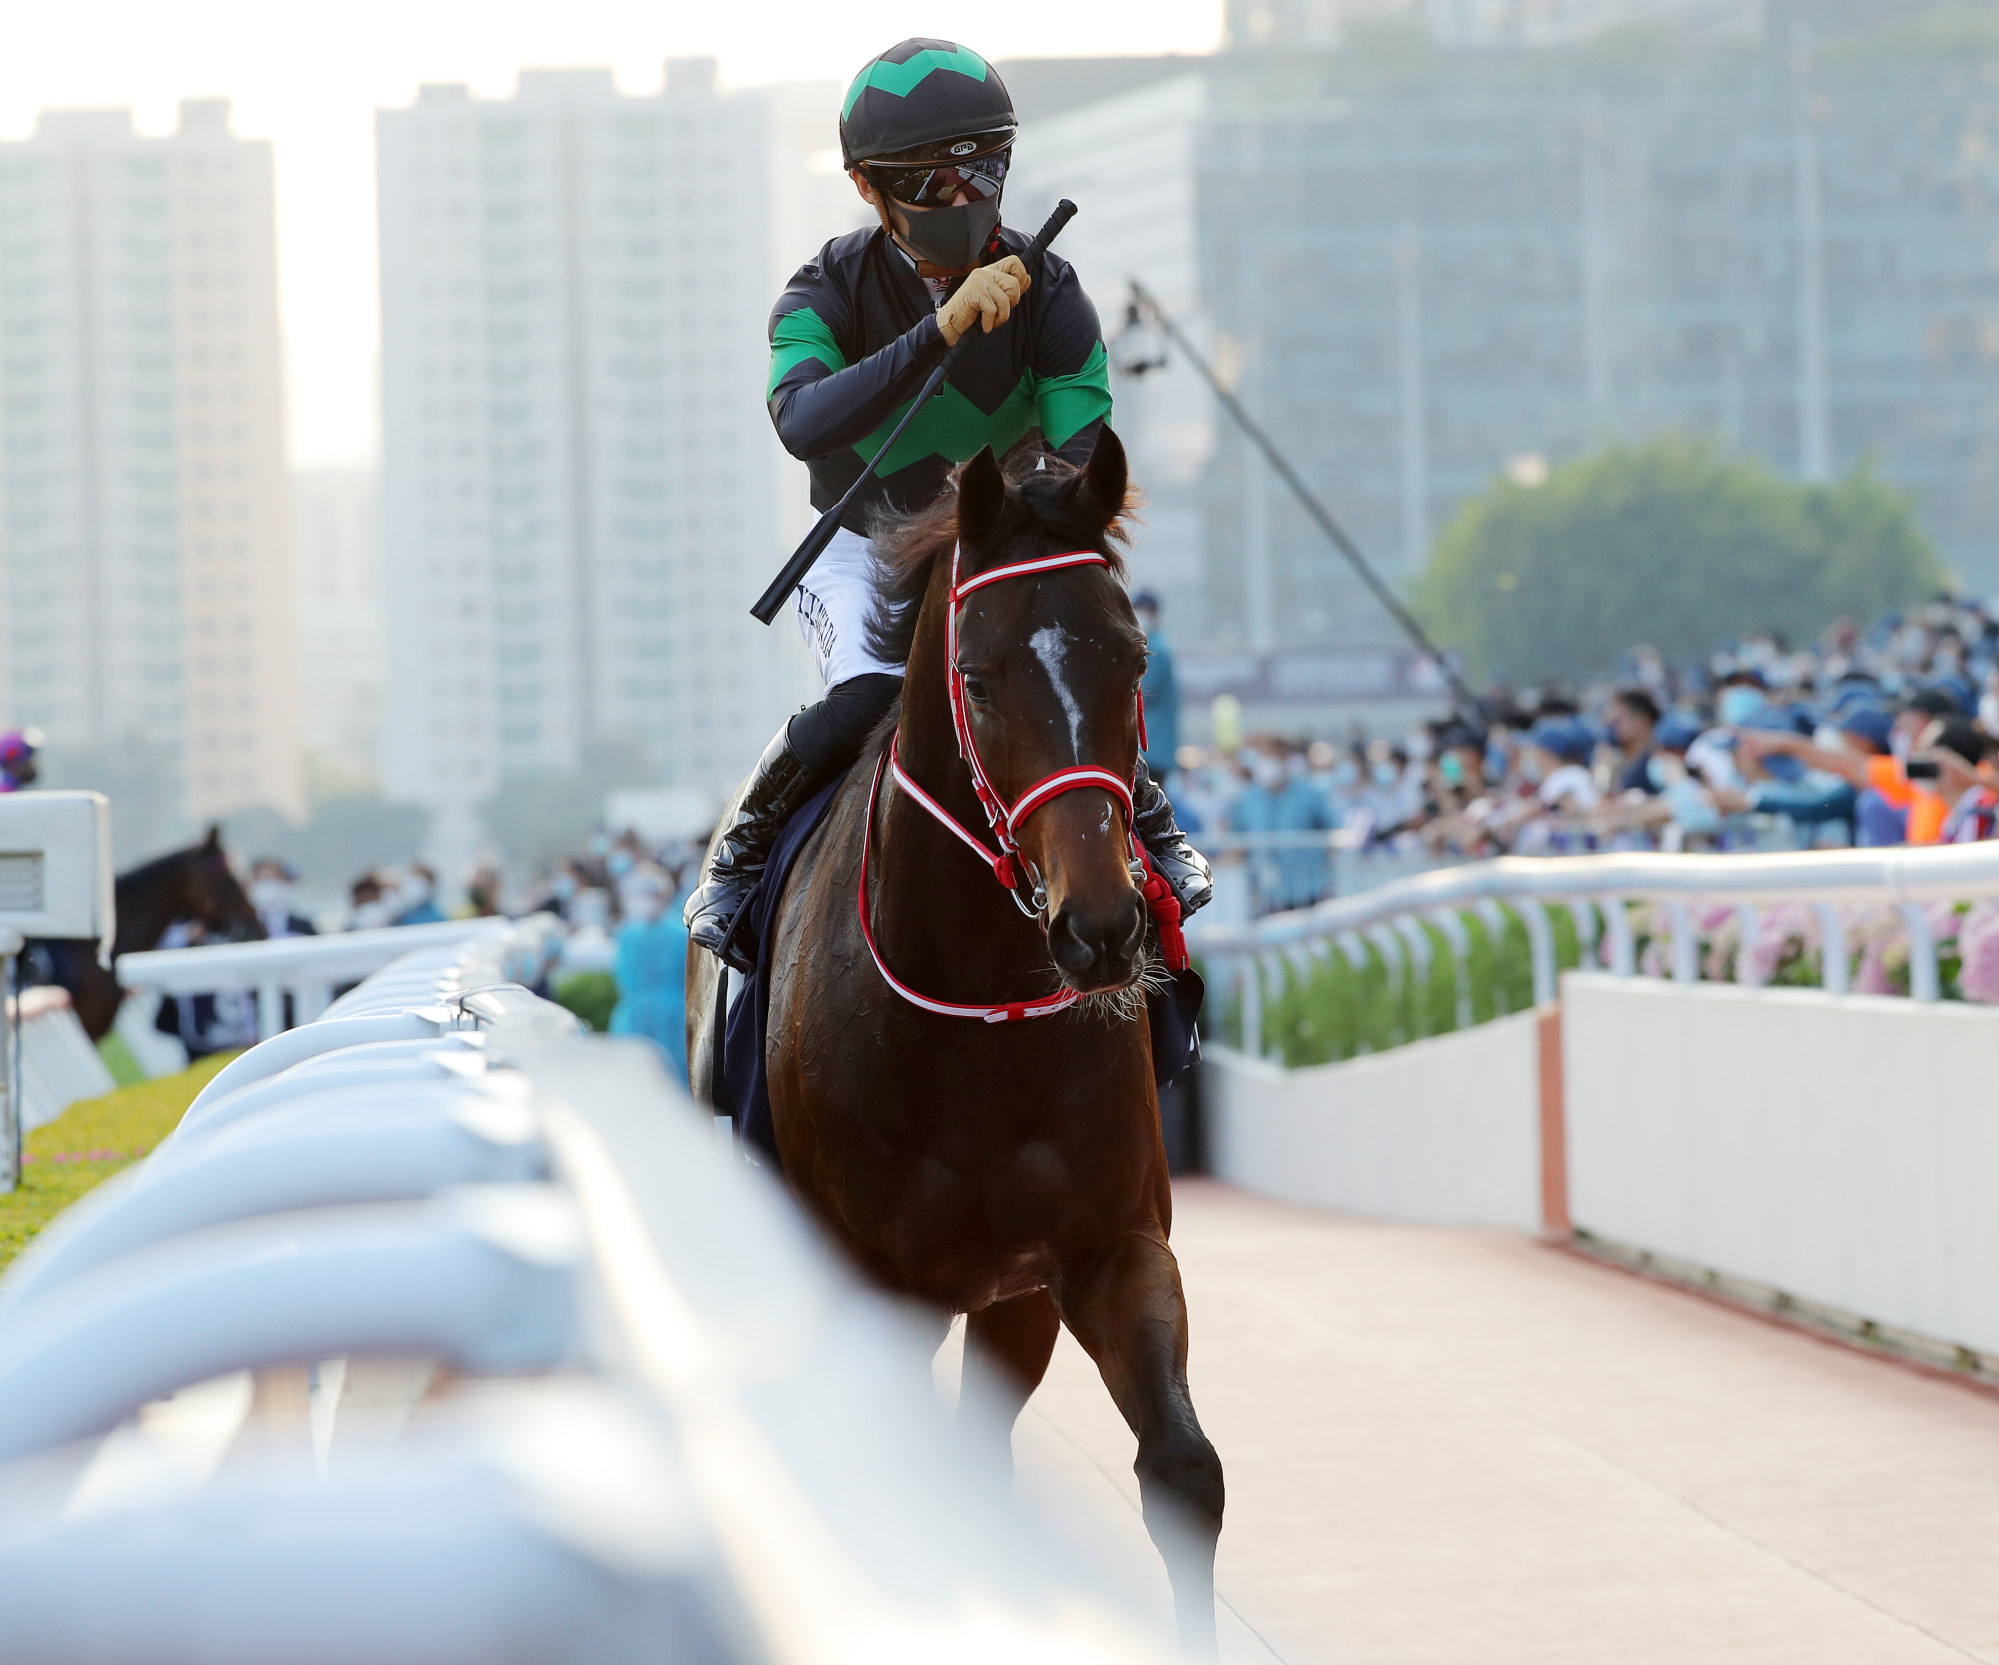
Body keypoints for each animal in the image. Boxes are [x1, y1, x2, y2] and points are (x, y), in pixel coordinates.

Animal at [691, 431, 1215, 1647]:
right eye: (977, 676)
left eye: (1131, 662)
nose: (1101, 926)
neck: (977, 1022)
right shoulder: (868, 1282)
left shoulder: (1107, 1247)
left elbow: (1183, 1472)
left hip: (1007, 1299)